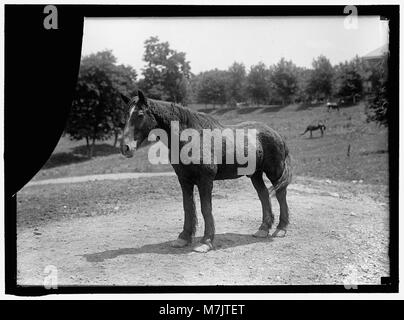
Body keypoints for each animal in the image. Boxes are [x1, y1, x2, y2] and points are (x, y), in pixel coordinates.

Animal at [118, 89, 292, 252]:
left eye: (140, 114)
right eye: (125, 114)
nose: (125, 148)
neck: (191, 138)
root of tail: (276, 134)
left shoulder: (205, 180)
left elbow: (205, 208)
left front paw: (206, 241)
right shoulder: (184, 180)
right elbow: (188, 207)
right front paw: (183, 238)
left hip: (274, 172)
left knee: (280, 194)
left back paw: (281, 229)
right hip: (255, 175)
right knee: (264, 195)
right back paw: (263, 229)